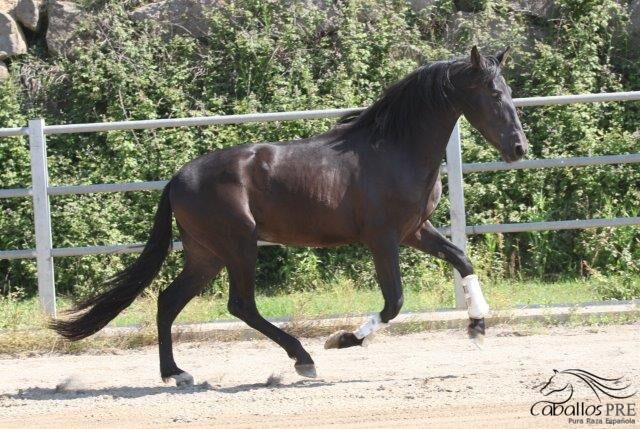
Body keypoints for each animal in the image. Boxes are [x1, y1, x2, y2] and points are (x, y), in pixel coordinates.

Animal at [51, 46, 528, 384]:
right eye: (492, 93)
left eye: (509, 92)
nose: (519, 148)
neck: (394, 149)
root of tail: (176, 179)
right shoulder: (383, 238)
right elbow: (394, 302)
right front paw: (342, 339)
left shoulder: (416, 230)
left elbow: (462, 259)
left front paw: (478, 327)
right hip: (238, 246)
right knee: (240, 304)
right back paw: (304, 359)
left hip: (206, 254)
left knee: (169, 300)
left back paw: (177, 373)